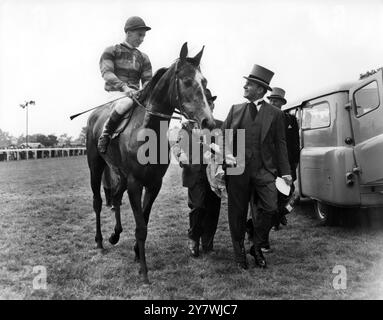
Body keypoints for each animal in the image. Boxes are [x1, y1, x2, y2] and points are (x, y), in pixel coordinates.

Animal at [86, 42, 216, 282]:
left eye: (204, 82)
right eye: (186, 81)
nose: (208, 122)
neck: (146, 131)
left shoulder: (154, 183)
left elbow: (143, 221)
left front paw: (138, 255)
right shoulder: (135, 183)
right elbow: (140, 227)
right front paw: (145, 272)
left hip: (119, 173)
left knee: (115, 196)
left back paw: (114, 235)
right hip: (96, 166)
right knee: (98, 202)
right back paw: (99, 241)